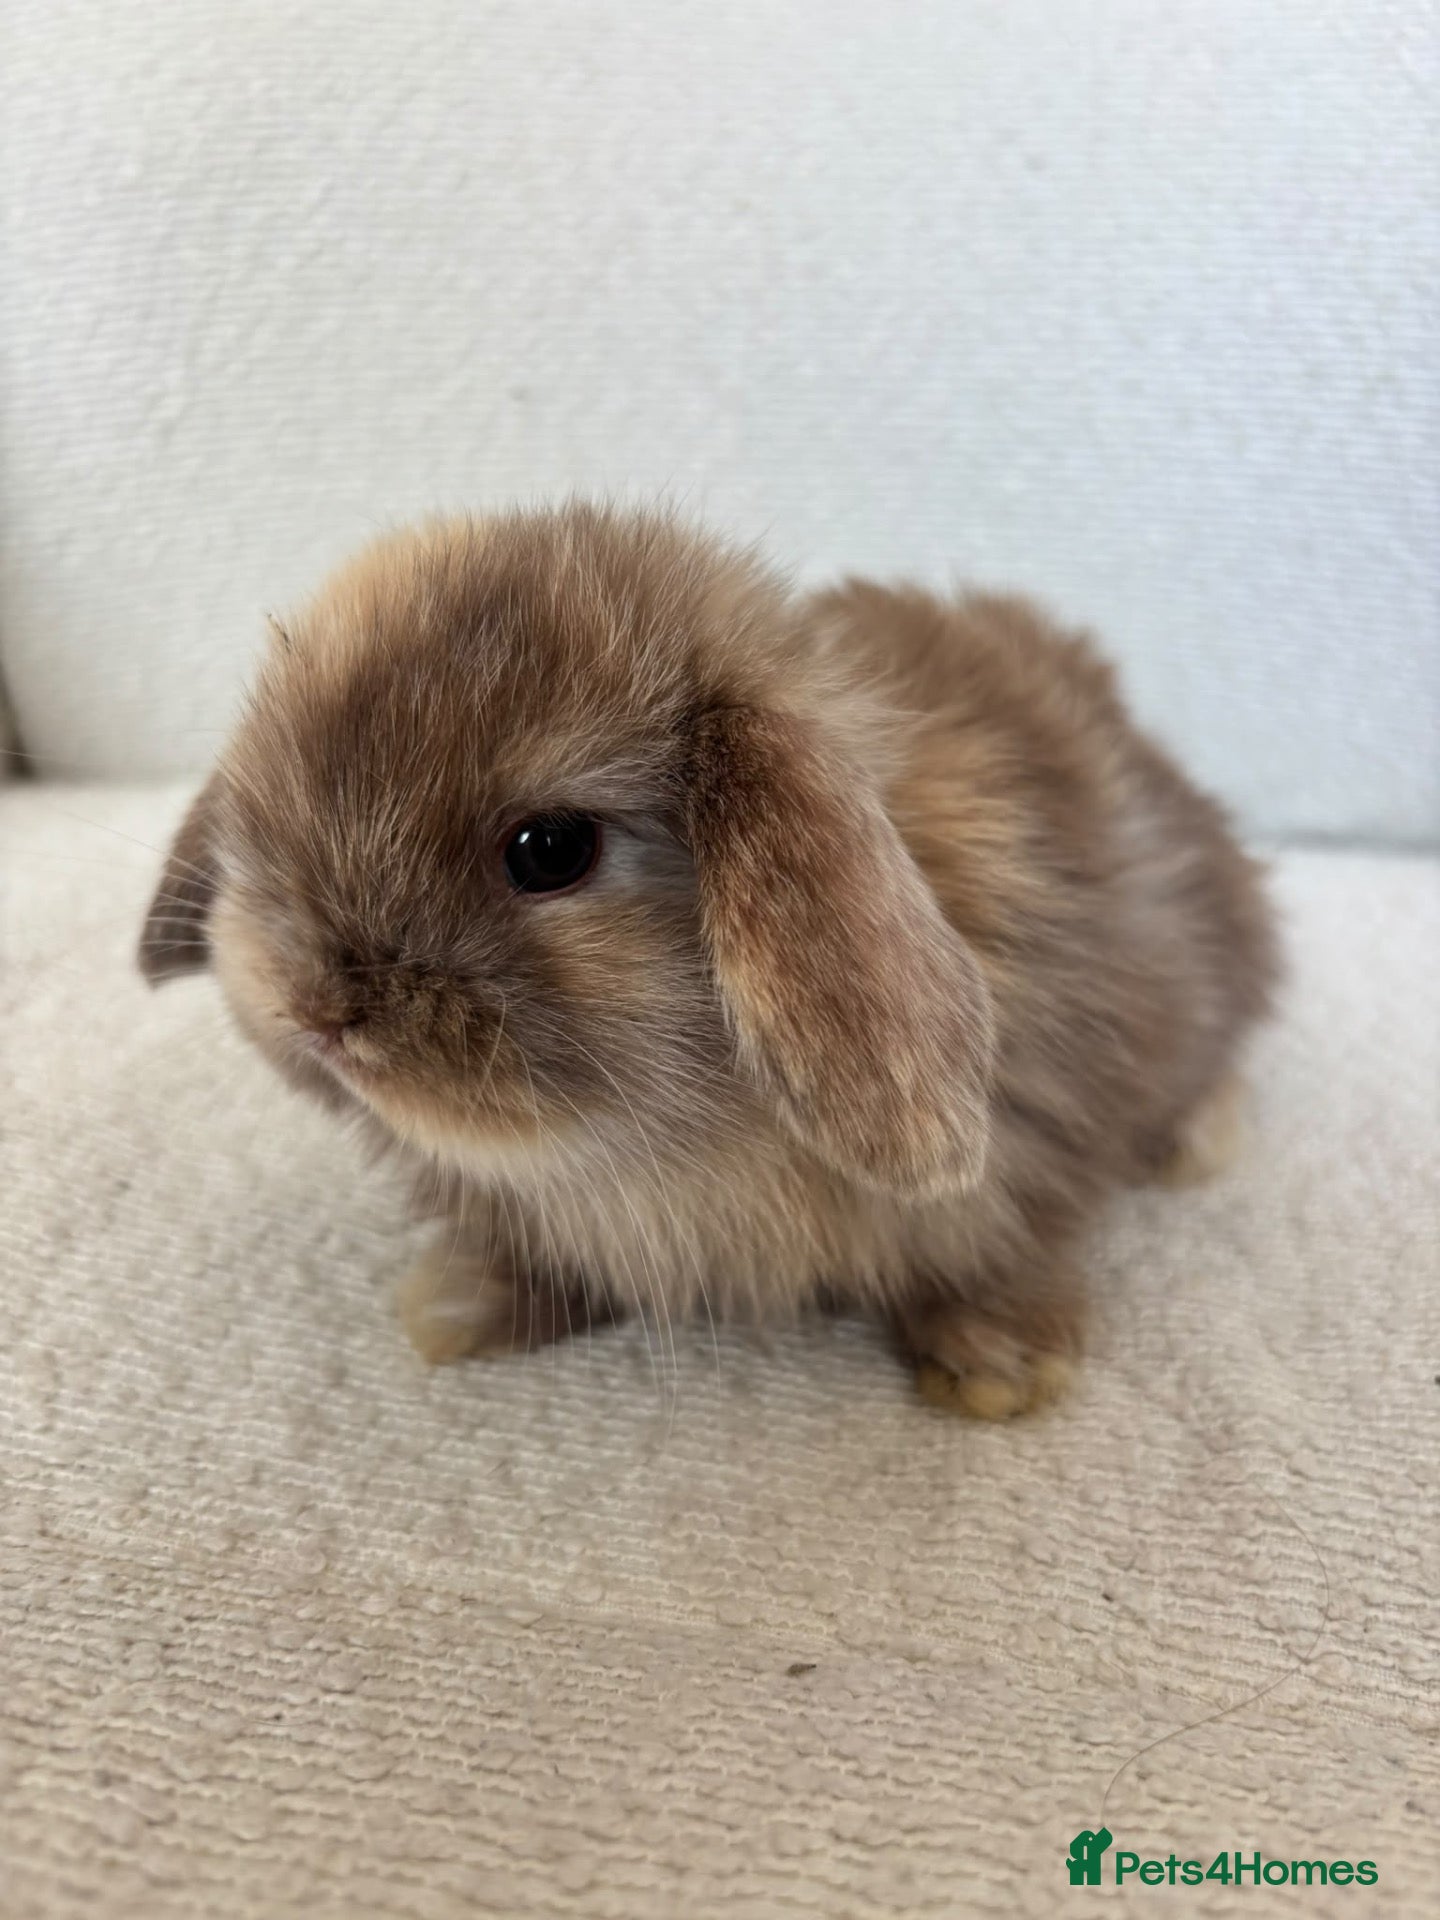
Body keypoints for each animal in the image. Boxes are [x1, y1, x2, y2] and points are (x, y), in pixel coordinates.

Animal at [139, 502, 1278, 1416]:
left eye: (550, 849)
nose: (316, 1010)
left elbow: (1002, 1248)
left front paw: (1000, 1368)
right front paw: (462, 1307)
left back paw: (1195, 1146)